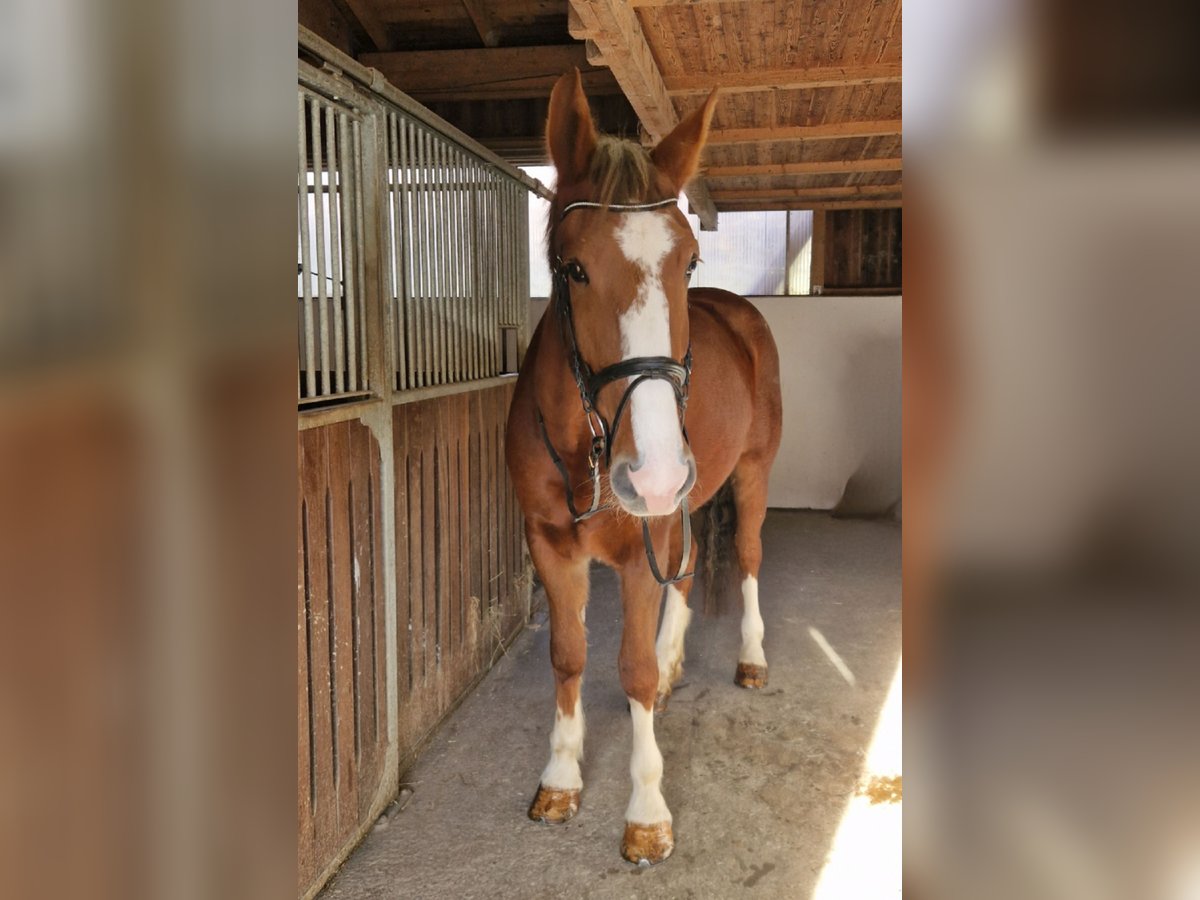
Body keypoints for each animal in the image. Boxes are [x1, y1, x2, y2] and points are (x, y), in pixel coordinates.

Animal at [505, 69, 782, 865]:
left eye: (686, 261)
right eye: (573, 268)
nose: (653, 473)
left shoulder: (636, 551)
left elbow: (627, 666)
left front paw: (648, 814)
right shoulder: (549, 546)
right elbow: (568, 654)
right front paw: (561, 778)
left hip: (749, 475)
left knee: (747, 555)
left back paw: (749, 659)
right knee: (684, 575)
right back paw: (673, 666)